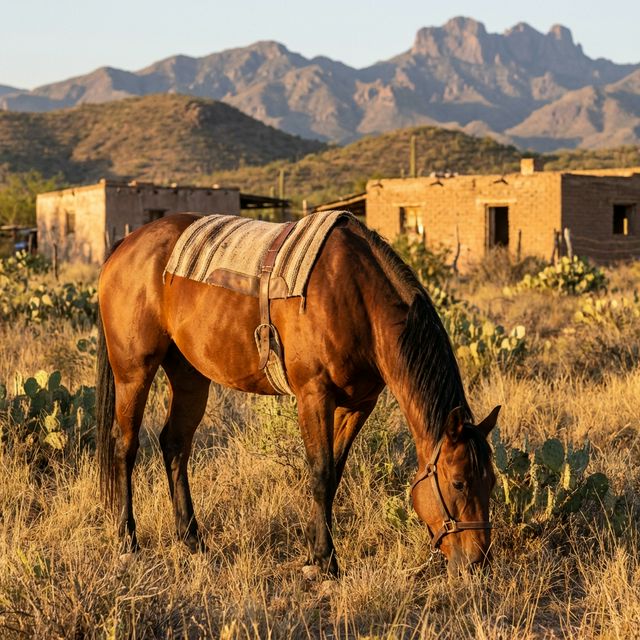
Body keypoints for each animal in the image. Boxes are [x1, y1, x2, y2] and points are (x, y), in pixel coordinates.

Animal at [96, 212, 500, 575]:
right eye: (459, 482)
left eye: (492, 482)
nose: (478, 560)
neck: (357, 298)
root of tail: (124, 246)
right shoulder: (313, 396)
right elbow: (320, 472)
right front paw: (325, 562)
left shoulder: (357, 405)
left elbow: (334, 475)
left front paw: (314, 552)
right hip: (133, 372)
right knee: (125, 446)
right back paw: (128, 541)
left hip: (190, 376)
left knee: (175, 444)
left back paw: (192, 539)